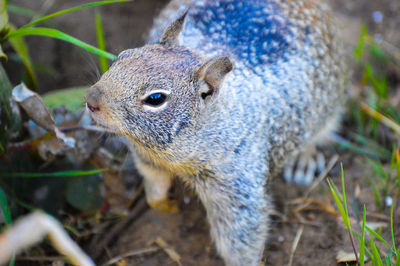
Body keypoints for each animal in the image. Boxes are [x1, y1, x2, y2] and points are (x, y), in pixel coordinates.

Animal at [85, 1, 346, 264]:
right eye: (122, 56)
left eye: (155, 98)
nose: (91, 99)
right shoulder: (145, 156)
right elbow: (153, 184)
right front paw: (163, 204)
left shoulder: (237, 185)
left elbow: (241, 238)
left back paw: (303, 160)